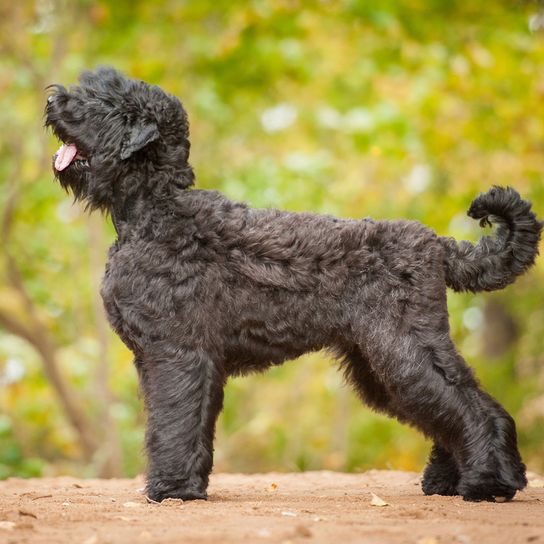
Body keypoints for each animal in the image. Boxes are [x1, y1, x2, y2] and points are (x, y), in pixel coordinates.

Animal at [45, 67, 540, 502]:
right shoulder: (179, 359)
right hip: (378, 362)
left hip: (403, 349)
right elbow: (189, 424)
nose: (53, 100)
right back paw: (450, 481)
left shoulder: (175, 351)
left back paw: (489, 484)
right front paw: (189, 486)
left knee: (471, 407)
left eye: (105, 102)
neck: (155, 211)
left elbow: (174, 421)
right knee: (450, 408)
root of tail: (438, 244)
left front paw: (172, 490)